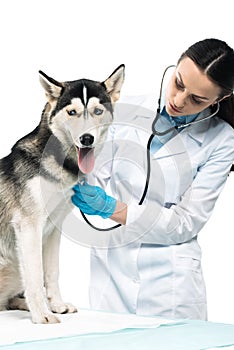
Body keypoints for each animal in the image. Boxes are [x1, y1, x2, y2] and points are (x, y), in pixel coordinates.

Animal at [0, 65, 124, 322]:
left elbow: (52, 272)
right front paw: (41, 314)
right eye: (72, 112)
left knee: (6, 302)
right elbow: (36, 275)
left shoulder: (53, 228)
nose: (87, 139)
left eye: (97, 111)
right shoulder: (29, 226)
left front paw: (55, 305)